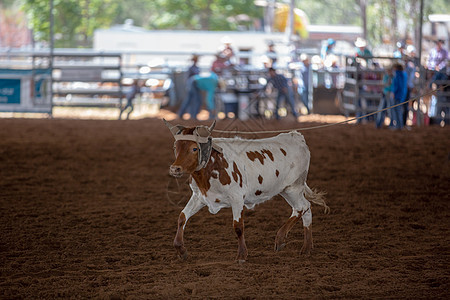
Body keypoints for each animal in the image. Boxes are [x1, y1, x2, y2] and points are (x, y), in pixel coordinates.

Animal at [163, 119, 328, 262]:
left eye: (194, 148)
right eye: (175, 147)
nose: (175, 169)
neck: (214, 165)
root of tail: (296, 137)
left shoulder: (237, 198)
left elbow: (238, 227)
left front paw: (242, 255)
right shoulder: (199, 196)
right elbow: (182, 217)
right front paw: (180, 249)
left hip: (294, 187)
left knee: (302, 207)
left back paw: (281, 238)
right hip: (286, 190)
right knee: (306, 208)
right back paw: (307, 247)